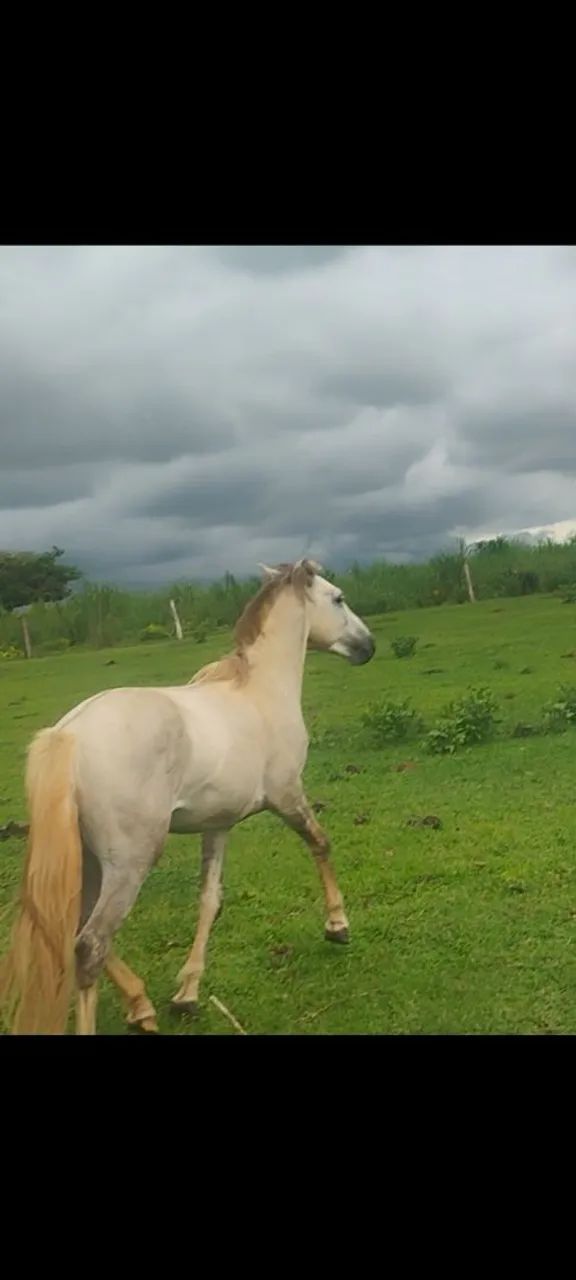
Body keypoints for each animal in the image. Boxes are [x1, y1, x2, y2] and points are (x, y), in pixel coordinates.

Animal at [0, 558, 375, 1035]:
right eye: (338, 598)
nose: (368, 646)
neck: (260, 693)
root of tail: (69, 734)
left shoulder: (218, 824)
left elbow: (210, 899)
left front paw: (188, 993)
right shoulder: (288, 795)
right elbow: (321, 844)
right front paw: (338, 926)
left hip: (86, 860)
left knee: (70, 931)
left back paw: (141, 1006)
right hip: (130, 863)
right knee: (90, 944)